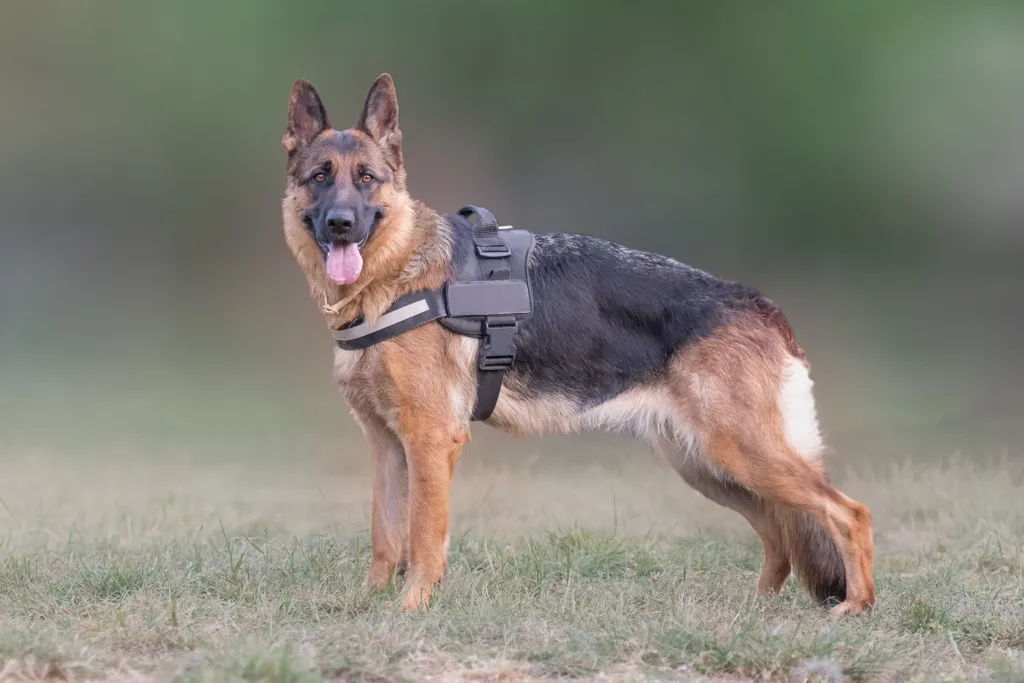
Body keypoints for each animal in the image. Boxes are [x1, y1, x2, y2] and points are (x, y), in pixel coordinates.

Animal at [282, 73, 880, 614]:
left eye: (366, 178)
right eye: (319, 177)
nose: (340, 224)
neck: (393, 277)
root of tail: (760, 304)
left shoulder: (430, 441)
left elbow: (424, 538)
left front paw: (410, 610)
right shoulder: (386, 446)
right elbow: (386, 535)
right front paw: (366, 605)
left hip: (742, 457)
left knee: (849, 513)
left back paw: (856, 606)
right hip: (712, 468)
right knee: (780, 533)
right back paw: (756, 609)